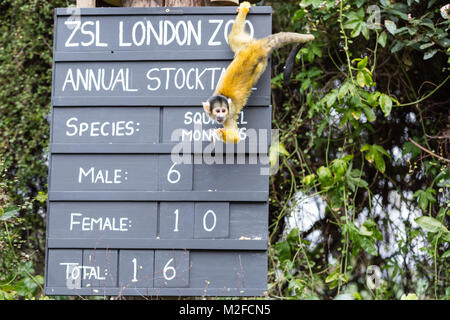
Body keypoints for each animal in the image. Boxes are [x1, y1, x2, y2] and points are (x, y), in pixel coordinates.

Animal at [202, 1, 314, 144]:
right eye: (217, 111)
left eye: (223, 111)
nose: (220, 116)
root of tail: (259, 47)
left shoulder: (229, 115)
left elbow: (236, 137)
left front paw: (220, 134)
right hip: (244, 46)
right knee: (233, 37)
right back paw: (244, 9)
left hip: (261, 62)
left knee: (251, 62)